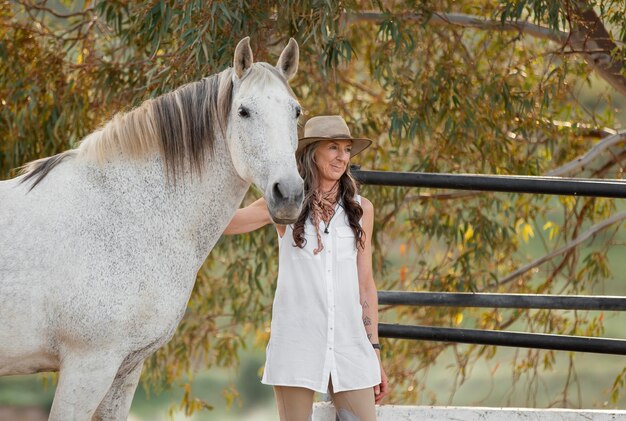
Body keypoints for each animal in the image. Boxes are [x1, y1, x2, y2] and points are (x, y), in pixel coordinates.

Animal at [0, 37, 302, 420]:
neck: (122, 211)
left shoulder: (125, 368)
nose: (289, 193)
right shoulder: (88, 367)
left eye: (296, 112)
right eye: (244, 112)